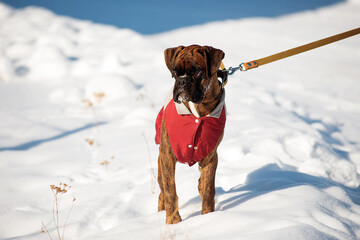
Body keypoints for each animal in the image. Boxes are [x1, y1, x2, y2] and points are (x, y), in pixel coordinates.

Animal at [155, 44, 228, 223]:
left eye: (197, 71)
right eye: (175, 71)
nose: (182, 81)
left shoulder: (210, 157)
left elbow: (208, 190)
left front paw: (207, 216)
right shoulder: (167, 155)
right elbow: (170, 190)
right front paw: (173, 222)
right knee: (162, 192)